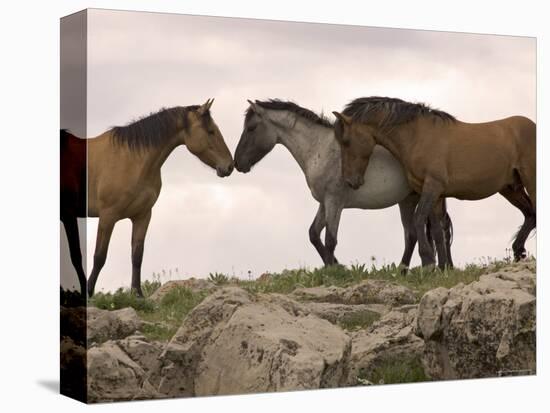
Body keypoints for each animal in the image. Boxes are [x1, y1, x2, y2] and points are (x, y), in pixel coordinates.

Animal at [61, 98, 234, 294]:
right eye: (211, 131)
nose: (229, 166)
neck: (132, 160)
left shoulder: (142, 215)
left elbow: (137, 255)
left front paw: (137, 293)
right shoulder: (107, 216)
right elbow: (99, 256)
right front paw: (89, 292)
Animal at [233, 99, 452, 268]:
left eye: (251, 128)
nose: (237, 163)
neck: (320, 149)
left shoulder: (334, 201)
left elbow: (330, 239)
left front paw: (334, 270)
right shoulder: (324, 202)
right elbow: (314, 234)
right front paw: (336, 265)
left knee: (435, 231)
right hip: (408, 200)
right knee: (417, 234)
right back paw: (408, 270)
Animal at [334, 98, 536, 268]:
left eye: (346, 141)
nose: (350, 181)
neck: (417, 136)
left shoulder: (433, 186)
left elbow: (419, 219)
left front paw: (428, 261)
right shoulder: (435, 193)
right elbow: (438, 230)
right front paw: (443, 267)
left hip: (530, 181)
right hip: (510, 188)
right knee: (530, 214)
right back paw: (518, 251)